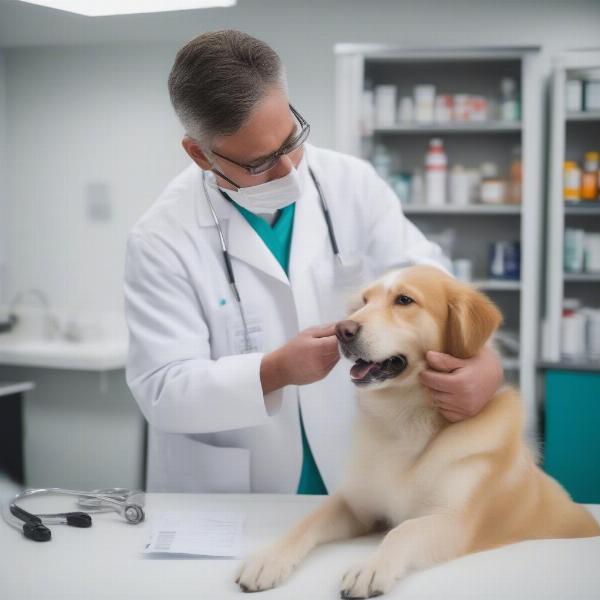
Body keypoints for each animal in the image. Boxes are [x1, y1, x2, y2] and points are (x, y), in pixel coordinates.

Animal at [236, 268, 600, 600]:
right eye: (364, 302)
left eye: (404, 300)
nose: (342, 329)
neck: (405, 420)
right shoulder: (356, 505)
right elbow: (307, 522)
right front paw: (268, 559)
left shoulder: (452, 522)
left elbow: (402, 531)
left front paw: (371, 568)